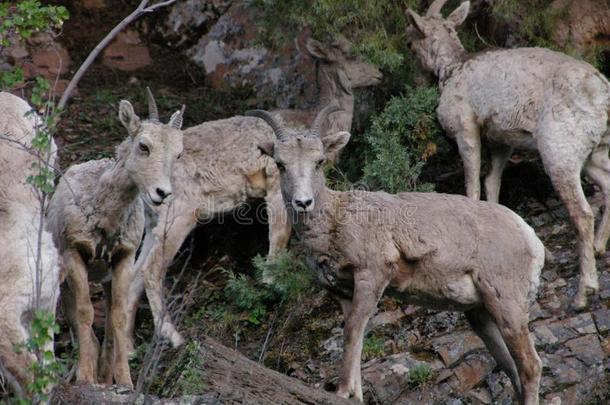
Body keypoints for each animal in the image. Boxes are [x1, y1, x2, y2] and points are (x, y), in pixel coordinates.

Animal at [46, 88, 184, 386]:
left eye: (179, 154)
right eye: (143, 146)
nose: (162, 193)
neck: (104, 219)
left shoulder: (123, 258)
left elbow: (119, 317)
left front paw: (124, 381)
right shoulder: (74, 254)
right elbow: (84, 313)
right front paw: (85, 378)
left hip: (107, 280)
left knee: (109, 321)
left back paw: (105, 373)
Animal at [246, 105, 540, 402]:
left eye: (319, 161)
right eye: (280, 164)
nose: (303, 202)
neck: (335, 221)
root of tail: (529, 236)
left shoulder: (372, 276)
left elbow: (352, 333)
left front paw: (342, 392)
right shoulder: (343, 293)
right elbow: (356, 339)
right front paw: (356, 395)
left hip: (507, 304)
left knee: (530, 366)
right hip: (480, 314)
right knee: (511, 368)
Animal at [404, 0, 608, 308]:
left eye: (410, 43)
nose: (414, 80)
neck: (452, 69)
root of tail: (602, 94)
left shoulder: (466, 127)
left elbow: (473, 183)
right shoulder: (502, 141)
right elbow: (492, 182)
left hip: (560, 152)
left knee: (582, 214)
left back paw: (583, 292)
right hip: (595, 152)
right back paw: (599, 247)